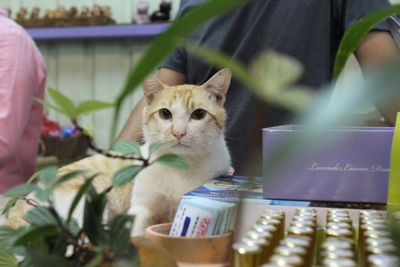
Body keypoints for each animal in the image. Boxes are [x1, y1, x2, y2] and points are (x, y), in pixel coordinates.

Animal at [3, 68, 231, 238]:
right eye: (165, 113)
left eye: (198, 114)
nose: (178, 132)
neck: (180, 166)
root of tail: (22, 201)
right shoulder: (141, 208)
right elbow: (138, 233)